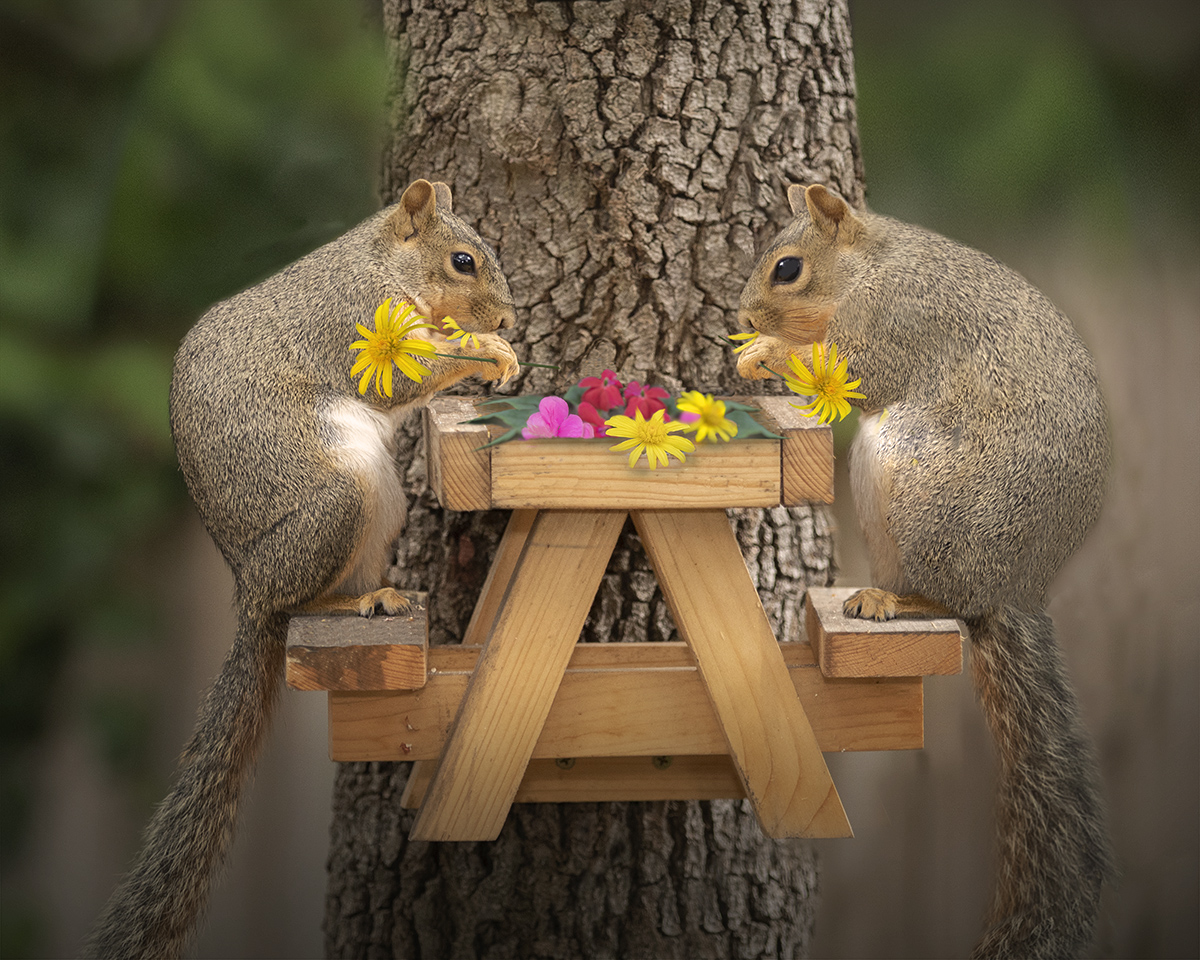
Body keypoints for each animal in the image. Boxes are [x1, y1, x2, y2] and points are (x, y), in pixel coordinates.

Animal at [84, 180, 516, 960]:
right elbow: (404, 378)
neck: (382, 265)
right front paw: (487, 350)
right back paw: (346, 607)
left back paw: (380, 595)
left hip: (376, 504)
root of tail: (250, 592)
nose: (506, 316)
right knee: (301, 607)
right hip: (333, 512)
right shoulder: (353, 326)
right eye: (463, 261)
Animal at [739, 182, 1113, 960]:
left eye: (787, 268)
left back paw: (897, 603)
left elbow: (851, 369)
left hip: (921, 488)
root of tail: (1012, 591)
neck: (870, 266)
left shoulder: (898, 323)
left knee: (946, 603)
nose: (744, 317)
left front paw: (765, 351)